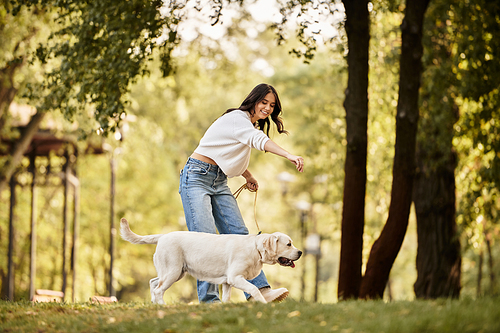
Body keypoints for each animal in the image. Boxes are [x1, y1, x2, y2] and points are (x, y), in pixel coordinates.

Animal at [120, 217, 300, 302]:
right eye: (289, 244)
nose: (300, 252)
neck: (255, 248)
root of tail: (163, 236)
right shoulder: (236, 277)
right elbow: (254, 289)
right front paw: (263, 302)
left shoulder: (227, 282)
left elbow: (227, 297)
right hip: (173, 271)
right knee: (158, 289)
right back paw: (162, 306)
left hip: (175, 272)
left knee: (153, 282)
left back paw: (153, 303)